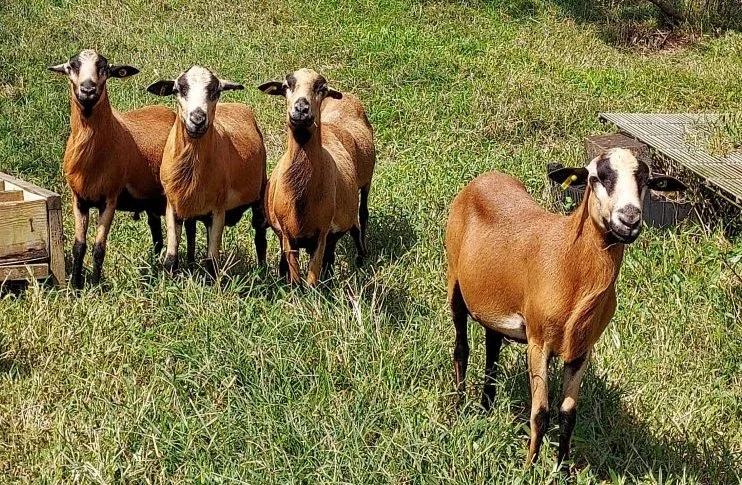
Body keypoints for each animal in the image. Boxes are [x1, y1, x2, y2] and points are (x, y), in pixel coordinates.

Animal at [49, 49, 177, 288]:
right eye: (72, 66)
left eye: (104, 68)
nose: (88, 90)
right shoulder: (78, 199)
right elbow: (78, 247)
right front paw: (76, 286)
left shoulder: (109, 198)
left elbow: (99, 248)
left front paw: (96, 285)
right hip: (150, 200)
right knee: (157, 236)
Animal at [147, 66, 267, 275]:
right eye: (178, 89)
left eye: (216, 91)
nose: (197, 119)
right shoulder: (173, 203)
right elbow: (171, 258)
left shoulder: (218, 210)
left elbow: (212, 261)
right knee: (192, 230)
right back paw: (191, 263)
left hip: (259, 191)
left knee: (260, 235)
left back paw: (261, 272)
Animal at [258, 68, 375, 286]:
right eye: (286, 86)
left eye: (322, 88)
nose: (301, 109)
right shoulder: (288, 236)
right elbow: (296, 280)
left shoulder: (321, 234)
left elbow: (312, 280)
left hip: (365, 181)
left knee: (361, 216)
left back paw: (362, 256)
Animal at [445, 148, 686, 466]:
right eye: (596, 177)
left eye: (646, 180)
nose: (629, 219)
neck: (570, 263)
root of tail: (485, 178)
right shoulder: (538, 342)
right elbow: (541, 413)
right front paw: (529, 467)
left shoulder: (582, 350)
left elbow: (568, 415)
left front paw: (562, 469)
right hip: (454, 281)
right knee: (461, 348)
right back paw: (459, 407)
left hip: (493, 304)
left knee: (492, 352)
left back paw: (486, 407)